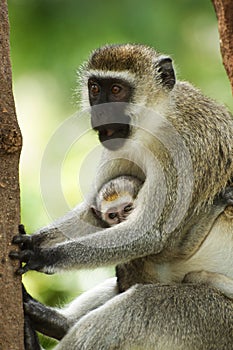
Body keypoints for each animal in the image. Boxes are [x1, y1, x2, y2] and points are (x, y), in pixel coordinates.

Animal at [10, 44, 233, 350]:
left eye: (116, 90)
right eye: (95, 88)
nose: (101, 112)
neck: (157, 120)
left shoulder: (184, 153)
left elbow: (150, 234)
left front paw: (42, 255)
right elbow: (93, 213)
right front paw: (34, 240)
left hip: (215, 321)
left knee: (139, 306)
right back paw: (53, 322)